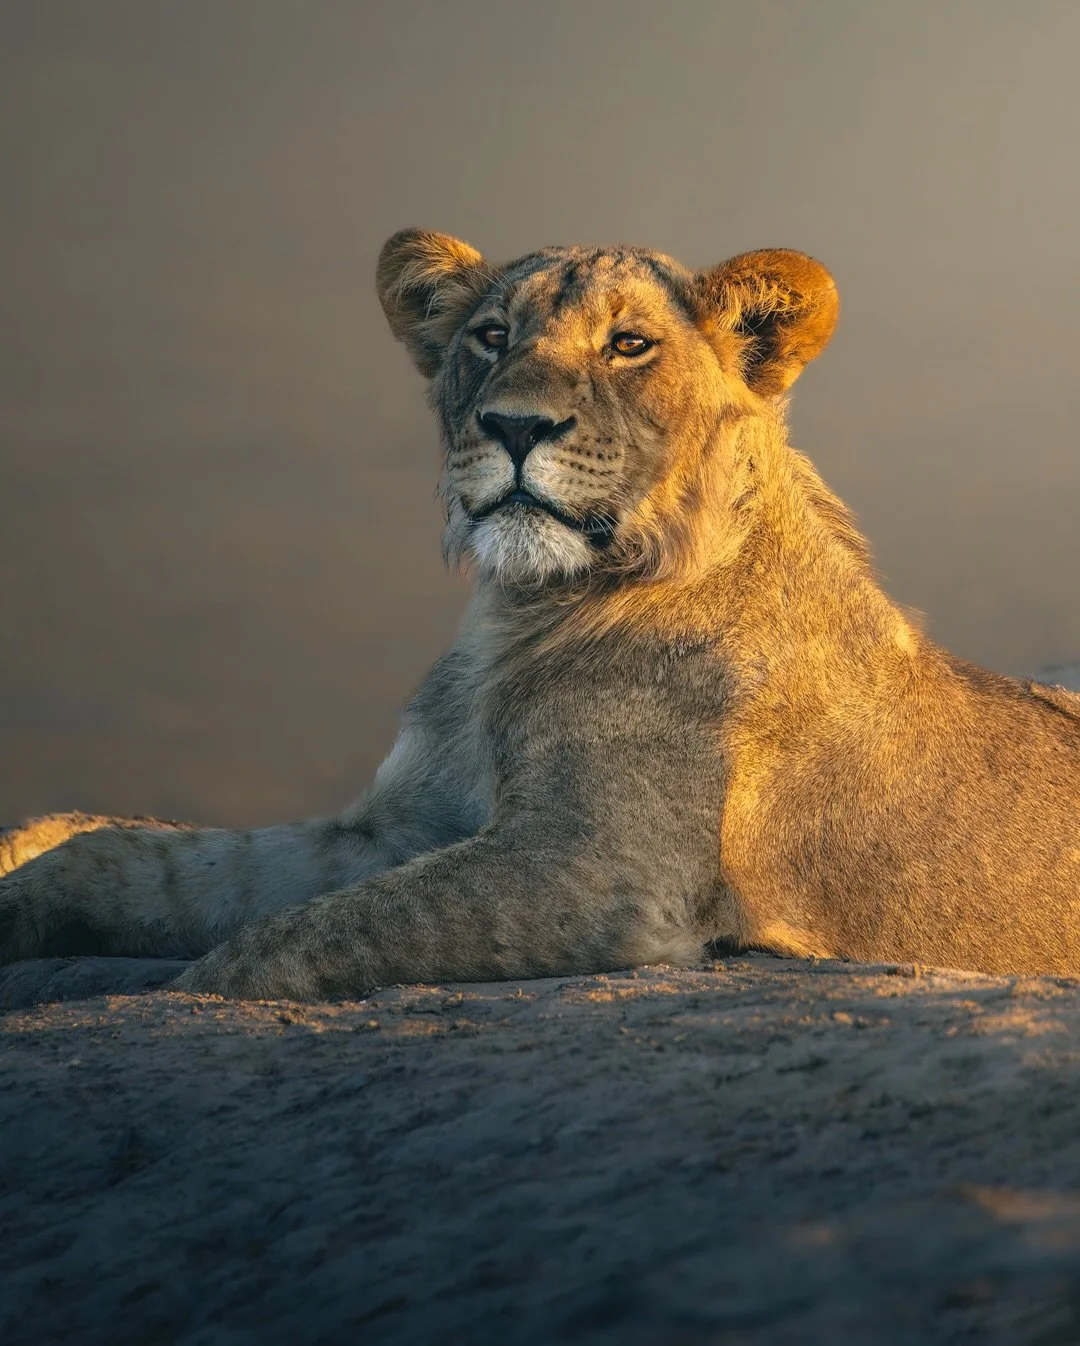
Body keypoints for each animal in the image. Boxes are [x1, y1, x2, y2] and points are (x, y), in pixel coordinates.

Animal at [1, 230, 1078, 1001]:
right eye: (492, 337)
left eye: (628, 344)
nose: (514, 425)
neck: (521, 610)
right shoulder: (394, 826)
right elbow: (146, 859)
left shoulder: (600, 869)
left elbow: (298, 937)